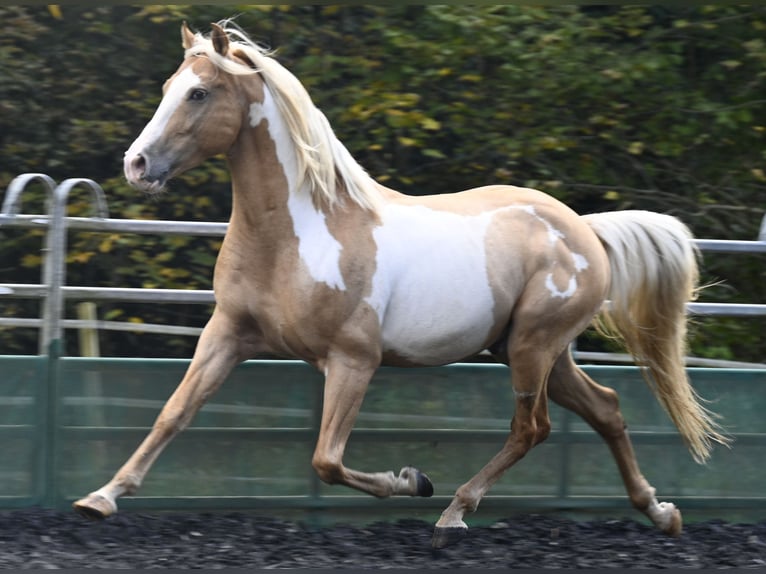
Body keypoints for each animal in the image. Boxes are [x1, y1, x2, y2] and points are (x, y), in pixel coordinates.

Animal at [73, 20, 732, 548]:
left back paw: (453, 512)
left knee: (533, 427)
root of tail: (585, 230)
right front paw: (99, 498)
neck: (298, 233)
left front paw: (412, 480)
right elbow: (173, 413)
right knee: (607, 409)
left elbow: (326, 460)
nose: (135, 165)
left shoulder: (352, 359)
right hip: (531, 349)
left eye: (199, 92)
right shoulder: (229, 334)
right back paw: (662, 513)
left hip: (533, 347)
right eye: (167, 88)